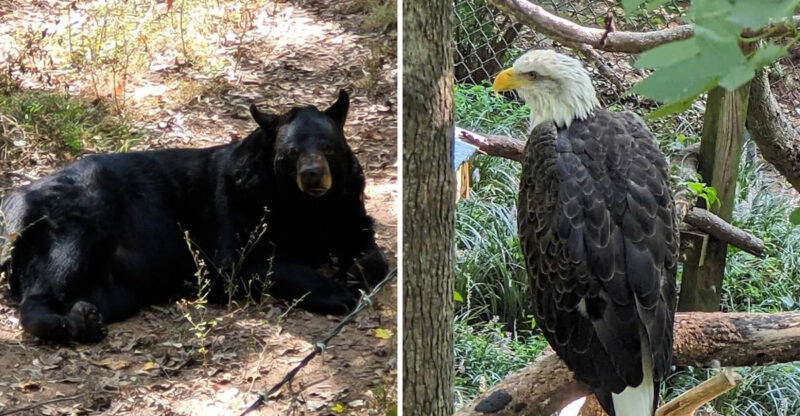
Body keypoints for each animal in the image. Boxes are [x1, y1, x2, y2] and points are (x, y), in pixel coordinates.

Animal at [0, 90, 388, 344]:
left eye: (328, 148)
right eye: (290, 153)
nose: (312, 174)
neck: (305, 204)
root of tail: (21, 196)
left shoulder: (344, 206)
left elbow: (365, 244)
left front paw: (356, 269)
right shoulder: (241, 209)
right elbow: (252, 264)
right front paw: (336, 292)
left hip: (118, 282)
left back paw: (84, 317)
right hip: (78, 216)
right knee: (55, 270)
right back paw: (67, 323)